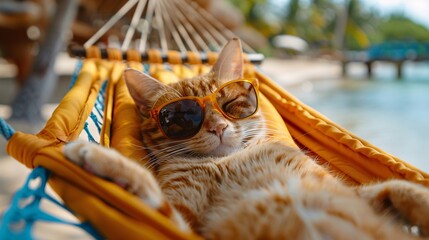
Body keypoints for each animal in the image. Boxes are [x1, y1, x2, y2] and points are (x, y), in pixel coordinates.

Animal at [63, 38, 428, 239]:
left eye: (232, 103)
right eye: (181, 117)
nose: (217, 127)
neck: (231, 160)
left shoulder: (355, 192)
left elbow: (401, 187)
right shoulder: (186, 223)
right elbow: (153, 195)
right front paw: (104, 161)